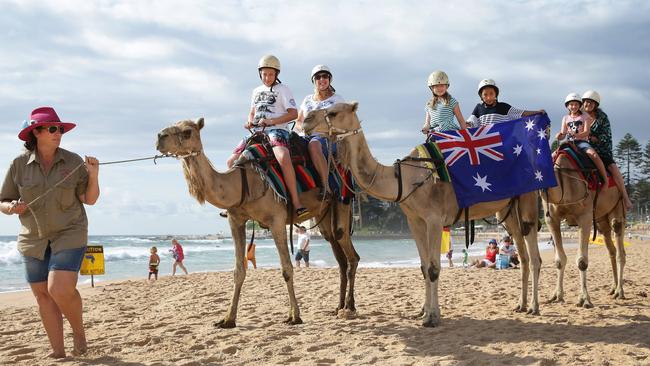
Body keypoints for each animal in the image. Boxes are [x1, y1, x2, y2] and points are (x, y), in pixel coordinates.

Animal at [156, 117, 360, 326]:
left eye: (187, 131)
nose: (160, 137)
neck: (242, 183)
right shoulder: (235, 220)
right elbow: (239, 270)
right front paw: (228, 319)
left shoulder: (277, 220)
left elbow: (287, 269)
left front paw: (294, 316)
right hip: (323, 213)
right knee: (338, 251)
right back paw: (339, 307)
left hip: (342, 199)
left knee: (348, 249)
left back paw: (349, 307)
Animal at [304, 101, 540, 328]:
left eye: (333, 112)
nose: (306, 120)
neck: (403, 180)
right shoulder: (415, 221)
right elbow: (424, 268)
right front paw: (426, 313)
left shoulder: (434, 219)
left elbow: (434, 268)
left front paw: (432, 318)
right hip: (508, 209)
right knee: (523, 255)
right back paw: (521, 305)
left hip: (528, 198)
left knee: (534, 255)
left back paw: (534, 307)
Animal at [540, 147, 624, 308]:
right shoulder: (551, 219)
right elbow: (559, 260)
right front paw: (556, 296)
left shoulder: (585, 217)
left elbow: (582, 261)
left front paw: (584, 299)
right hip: (601, 220)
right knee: (611, 248)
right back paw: (613, 288)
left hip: (617, 206)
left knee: (619, 244)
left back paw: (619, 292)